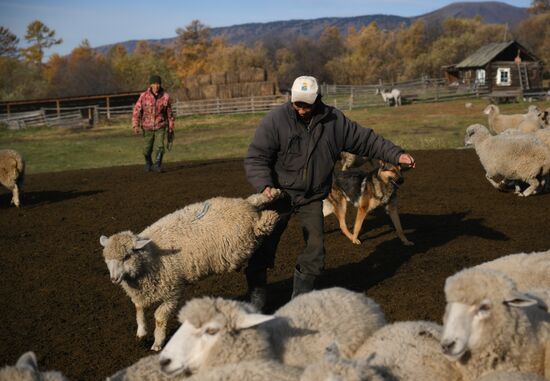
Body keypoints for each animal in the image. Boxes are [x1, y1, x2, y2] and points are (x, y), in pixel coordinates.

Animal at [99, 191, 282, 348]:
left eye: (126, 257)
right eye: (107, 259)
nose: (114, 279)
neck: (150, 256)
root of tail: (245, 207)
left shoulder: (172, 292)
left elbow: (159, 317)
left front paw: (158, 342)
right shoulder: (141, 293)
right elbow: (138, 310)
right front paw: (141, 332)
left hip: (244, 236)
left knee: (260, 224)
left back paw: (272, 215)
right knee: (255, 199)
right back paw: (271, 193)